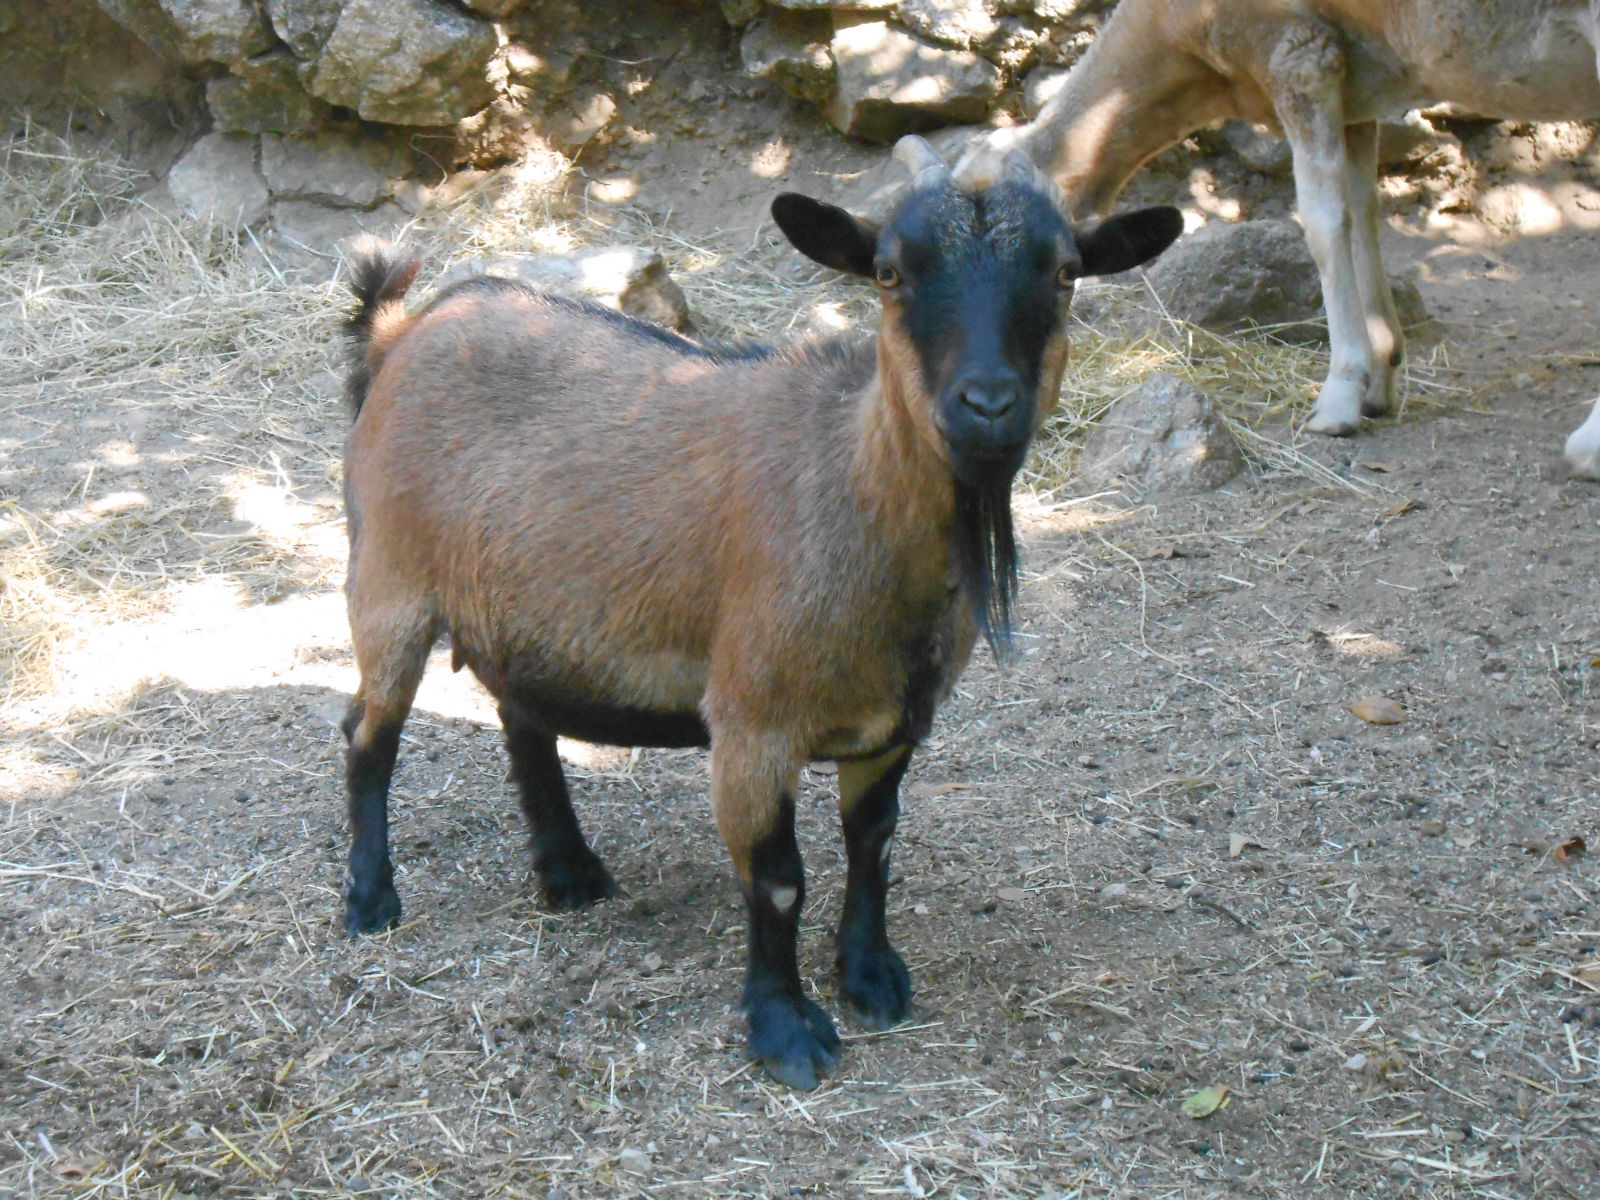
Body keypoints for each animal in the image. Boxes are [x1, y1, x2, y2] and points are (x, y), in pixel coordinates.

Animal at [337, 138, 1184, 1088]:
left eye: (1067, 272)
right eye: (890, 272)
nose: (987, 405)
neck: (850, 481)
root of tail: (401, 332)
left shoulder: (896, 726)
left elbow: (874, 845)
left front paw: (872, 977)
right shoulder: (752, 725)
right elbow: (778, 878)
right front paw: (786, 1032)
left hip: (522, 610)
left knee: (524, 721)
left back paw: (570, 873)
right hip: (389, 581)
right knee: (369, 737)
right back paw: (372, 899)